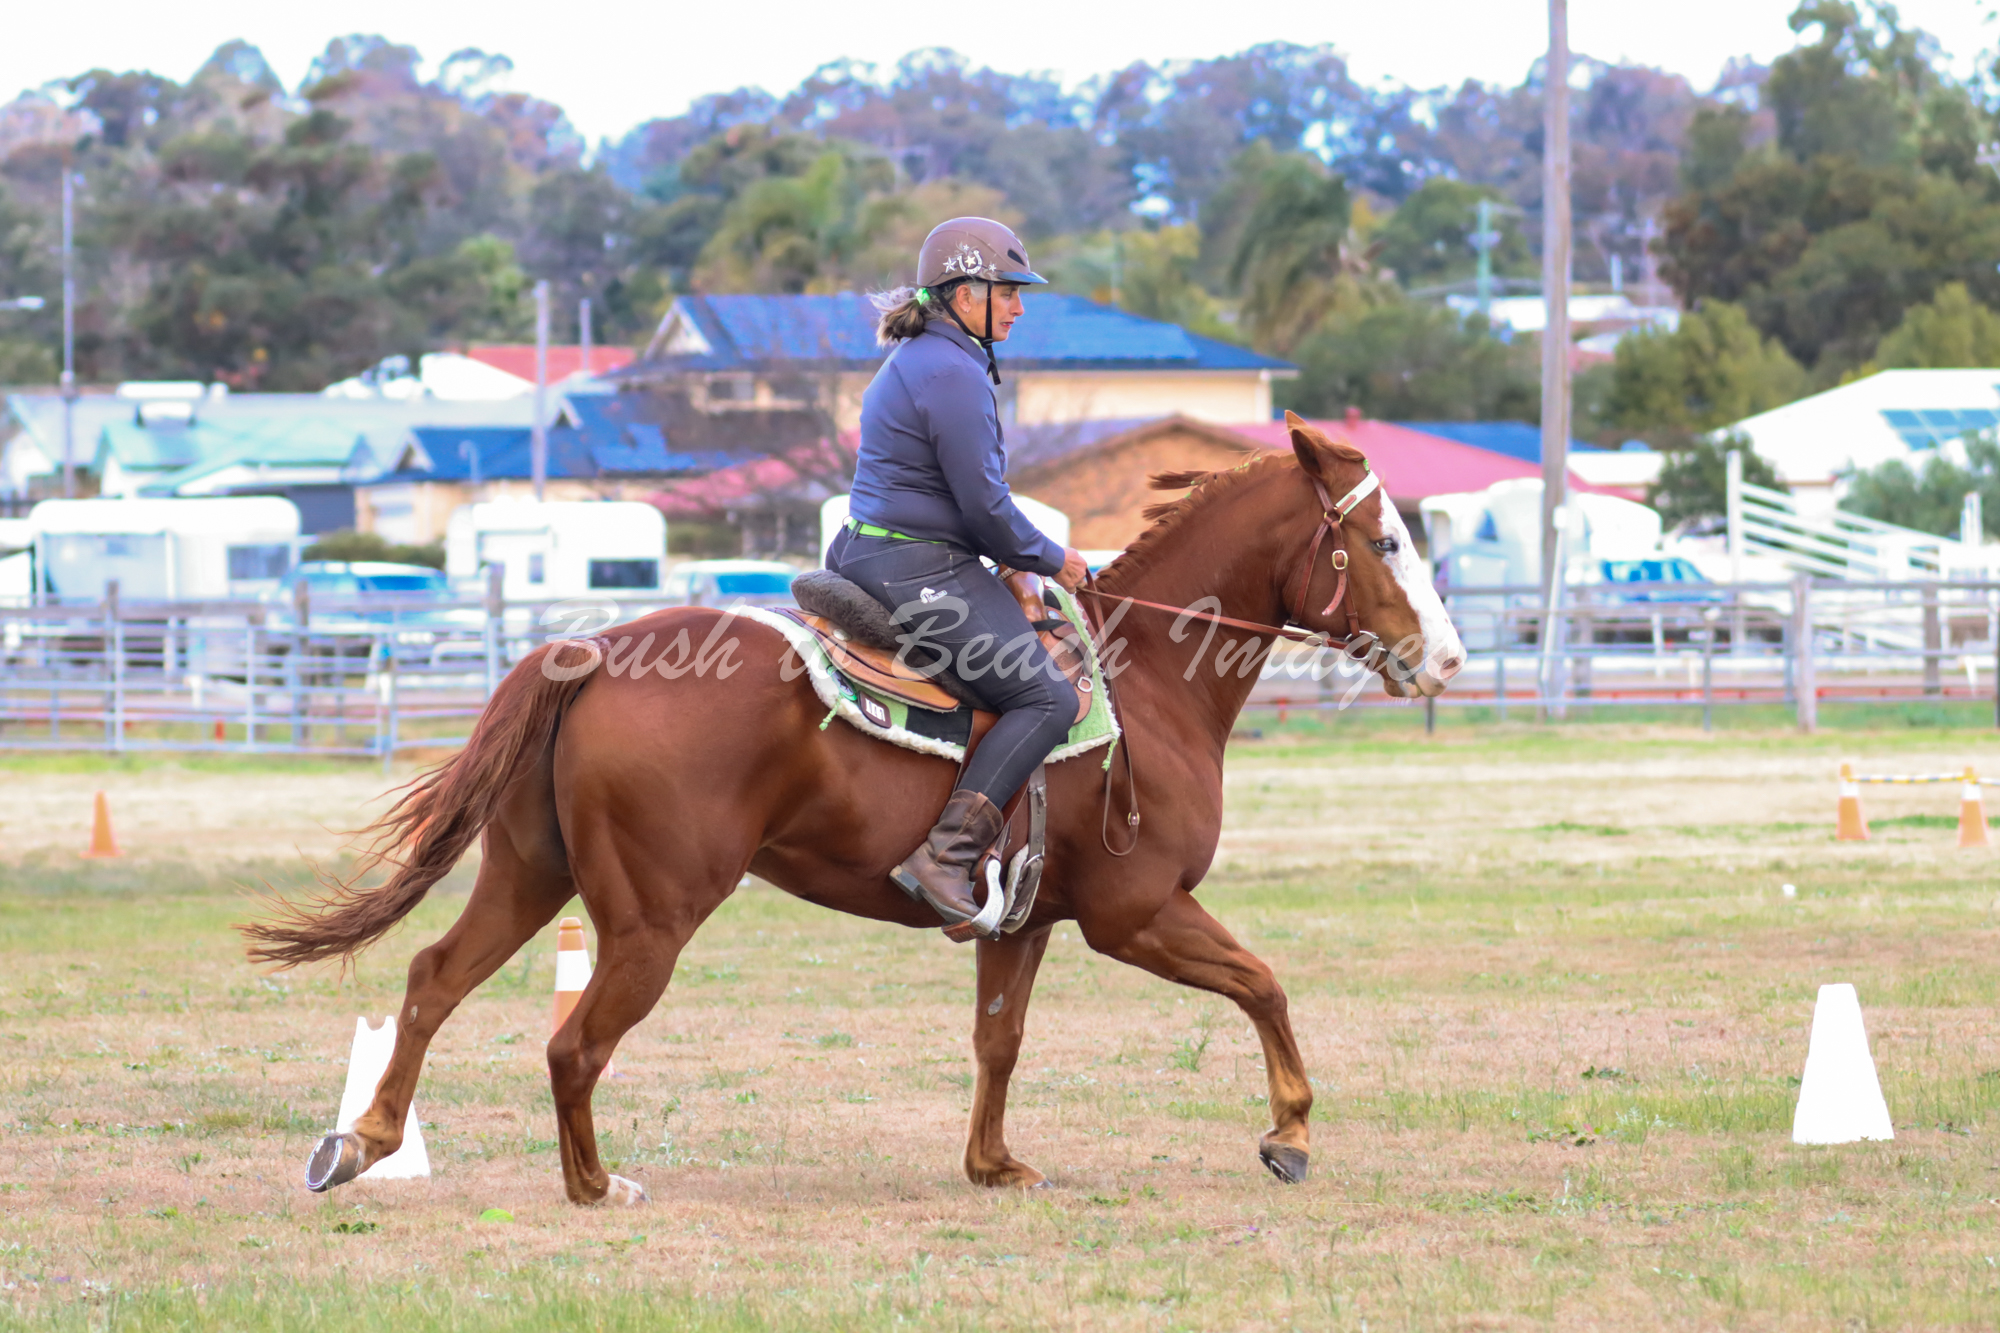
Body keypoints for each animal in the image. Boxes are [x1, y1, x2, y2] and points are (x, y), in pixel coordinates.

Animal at [242, 414, 1466, 1205]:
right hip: (649, 919)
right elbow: (1263, 982)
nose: (1447, 657)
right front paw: (1289, 1131)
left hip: (530, 876)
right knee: (573, 1043)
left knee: (432, 980)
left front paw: (992, 1165)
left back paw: (362, 1143)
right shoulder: (1137, 912)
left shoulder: (1023, 921)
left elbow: (998, 1040)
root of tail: (590, 653)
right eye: (1385, 540)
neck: (1148, 678)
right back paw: (592, 1182)